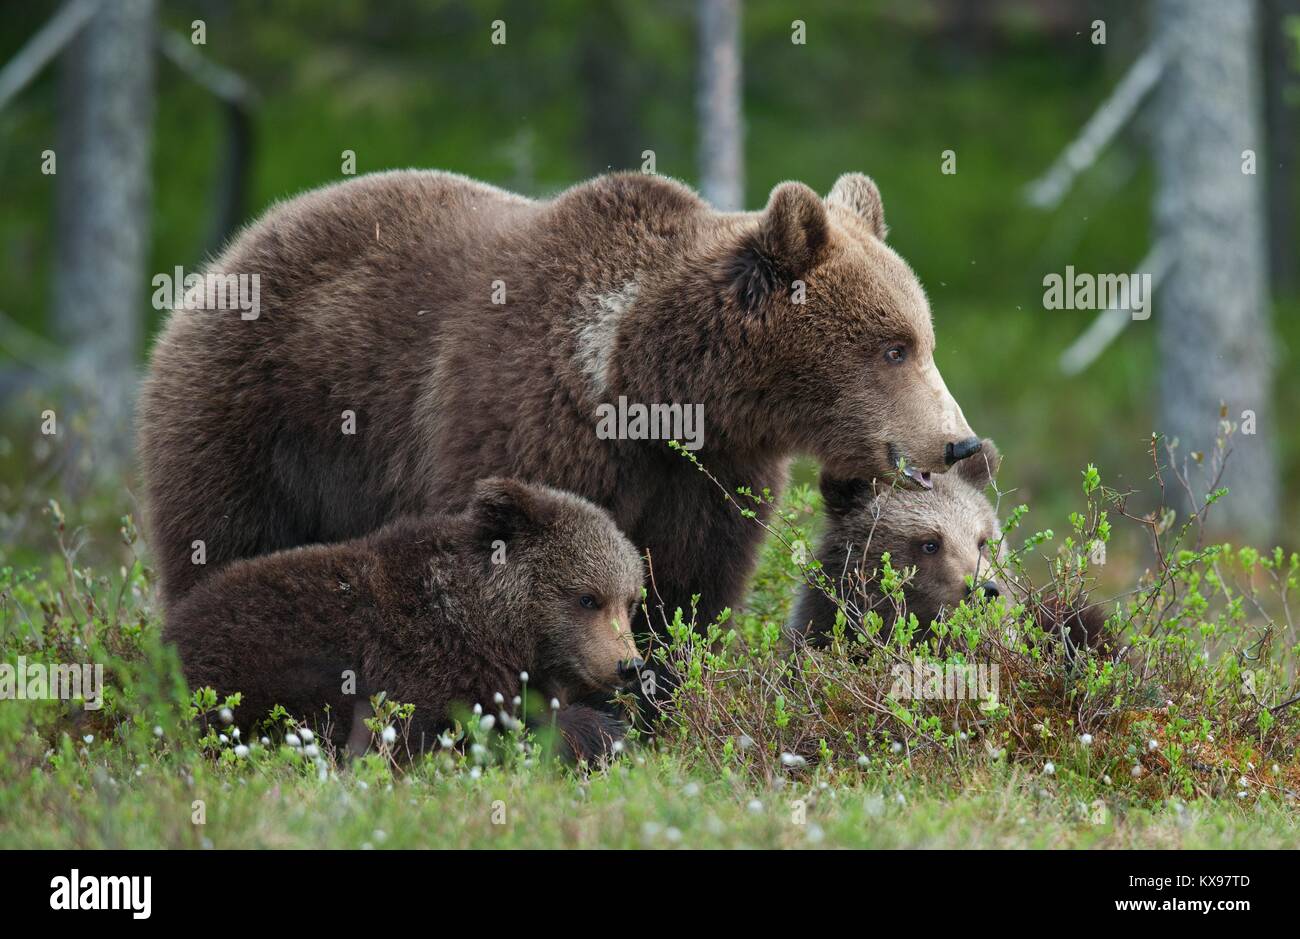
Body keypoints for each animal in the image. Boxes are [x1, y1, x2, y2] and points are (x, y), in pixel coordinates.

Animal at [139, 170, 977, 632]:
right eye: (894, 347)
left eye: (925, 338)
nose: (958, 442)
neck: (646, 386)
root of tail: (232, 251)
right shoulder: (527, 419)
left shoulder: (709, 473)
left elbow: (687, 586)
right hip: (256, 418)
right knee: (224, 541)